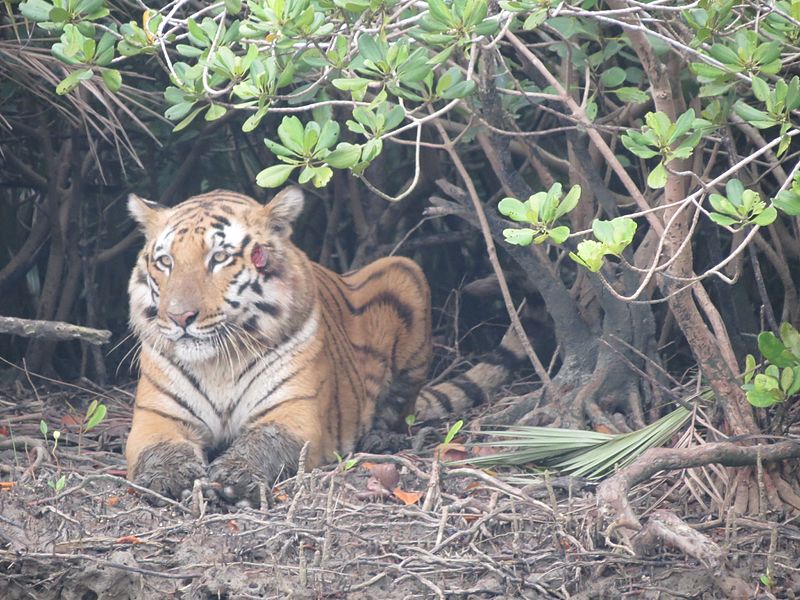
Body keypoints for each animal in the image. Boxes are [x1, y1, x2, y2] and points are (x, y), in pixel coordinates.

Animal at [123, 188, 524, 502]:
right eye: (165, 262)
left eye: (219, 258)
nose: (179, 317)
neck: (219, 363)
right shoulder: (156, 417)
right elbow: (158, 447)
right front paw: (168, 478)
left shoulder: (296, 414)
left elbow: (265, 440)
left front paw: (235, 476)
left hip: (405, 272)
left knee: (400, 405)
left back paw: (380, 439)